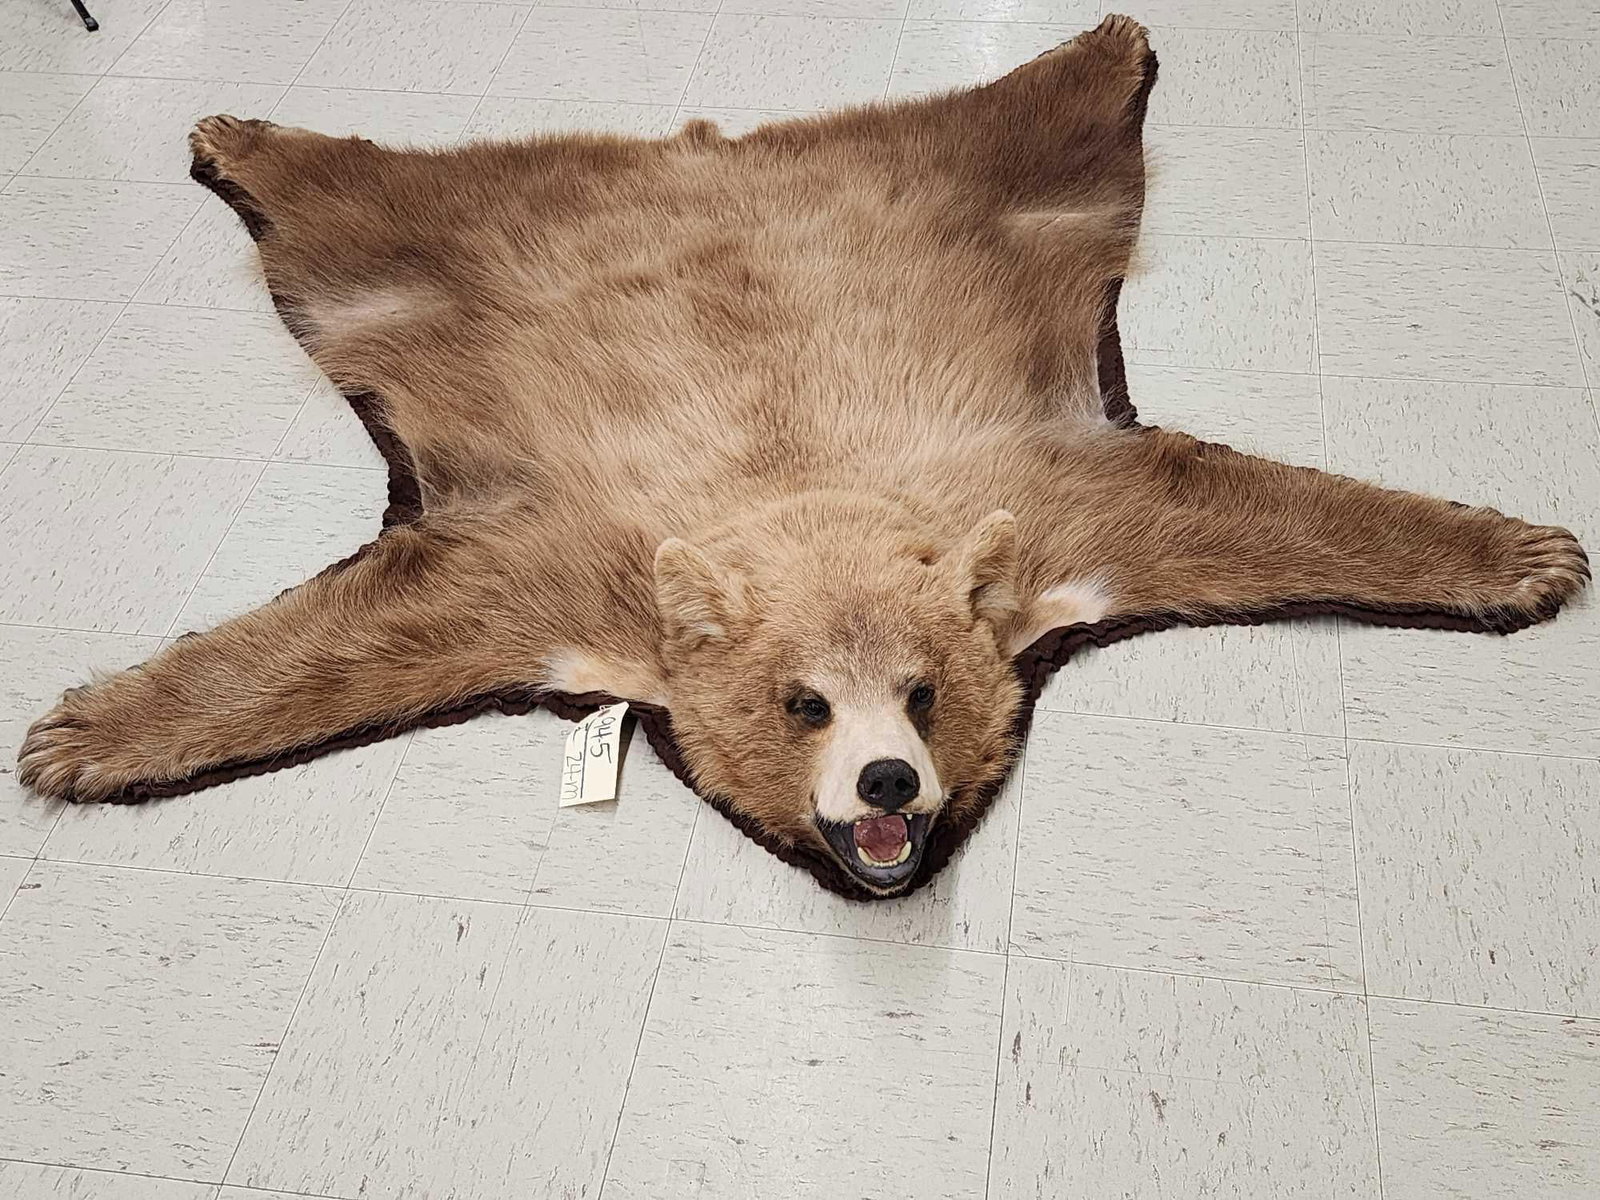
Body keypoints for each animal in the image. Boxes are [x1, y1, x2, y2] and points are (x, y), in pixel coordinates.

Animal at [16, 16, 1590, 898]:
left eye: (922, 694)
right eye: (801, 706)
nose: (889, 789)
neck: (793, 499)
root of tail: (707, 149)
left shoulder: (1055, 499)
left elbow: (1240, 511)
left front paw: (1526, 552)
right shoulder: (555, 569)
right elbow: (347, 643)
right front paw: (77, 736)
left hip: (996, 198)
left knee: (1046, 132)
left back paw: (1106, 40)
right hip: (430, 264)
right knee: (351, 209)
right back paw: (234, 131)